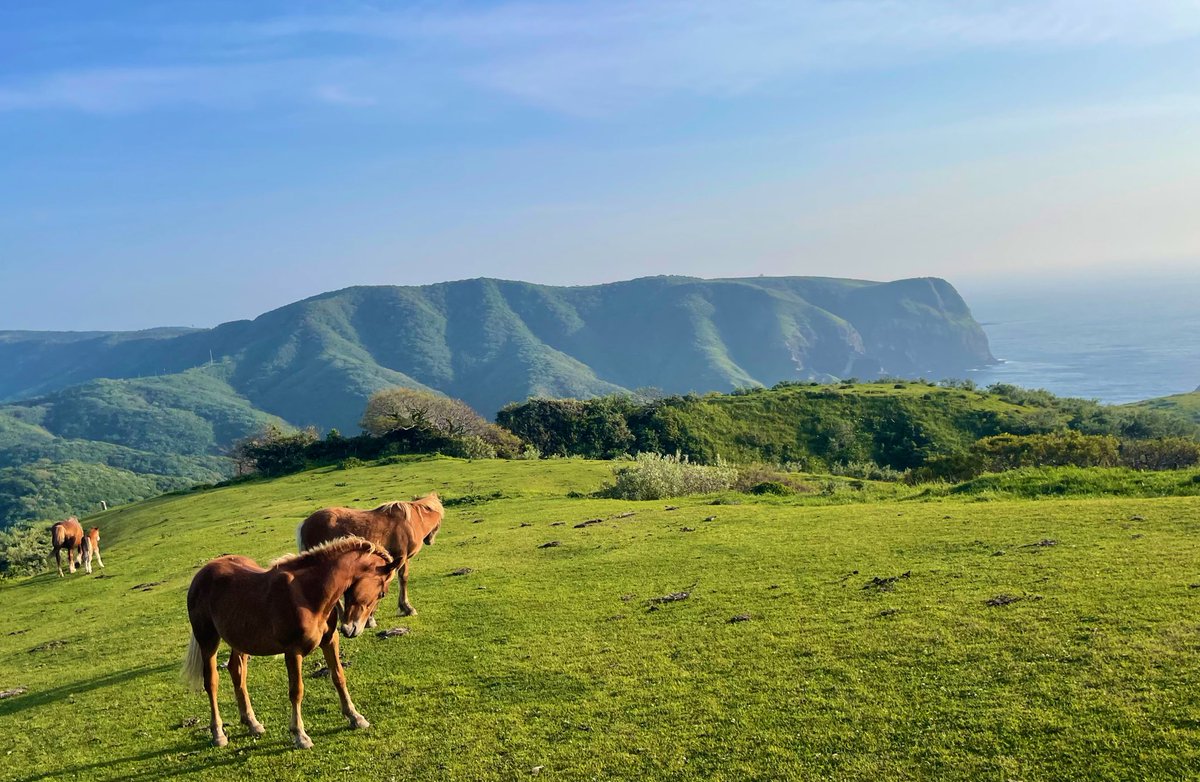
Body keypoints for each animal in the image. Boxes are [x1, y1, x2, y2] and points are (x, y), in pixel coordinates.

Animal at [182, 536, 401, 749]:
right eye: (382, 593)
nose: (352, 629)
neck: (309, 594)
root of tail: (202, 574)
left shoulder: (330, 640)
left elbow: (338, 677)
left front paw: (355, 717)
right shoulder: (293, 651)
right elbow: (296, 691)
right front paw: (300, 735)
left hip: (240, 641)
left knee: (237, 672)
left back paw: (252, 723)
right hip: (208, 640)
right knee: (211, 682)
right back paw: (218, 733)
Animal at [297, 491, 444, 620]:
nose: (430, 541)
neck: (411, 522)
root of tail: (305, 524)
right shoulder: (401, 557)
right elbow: (398, 580)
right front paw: (406, 608)